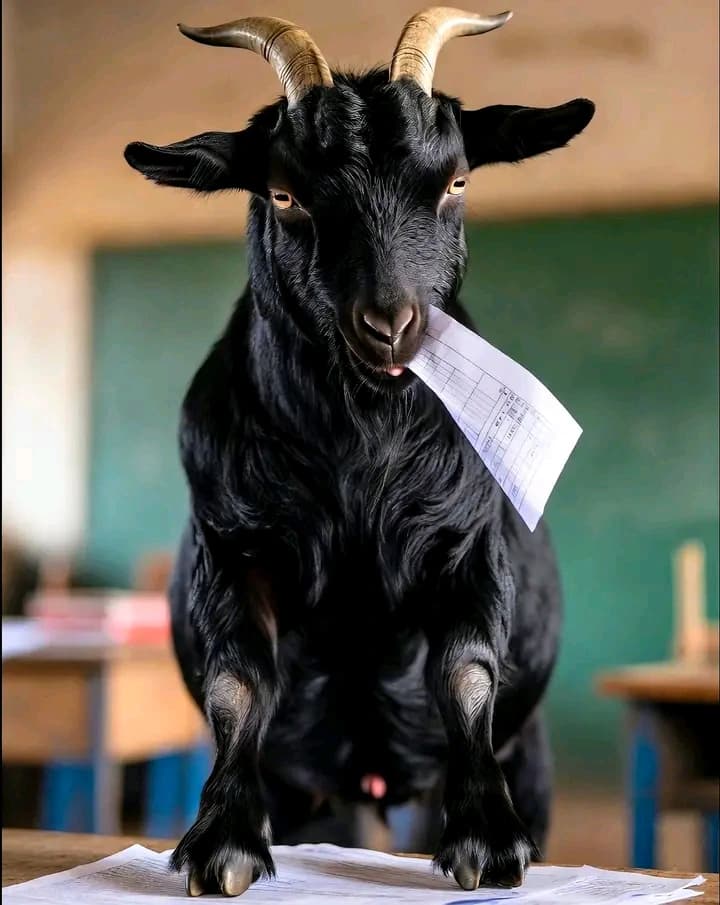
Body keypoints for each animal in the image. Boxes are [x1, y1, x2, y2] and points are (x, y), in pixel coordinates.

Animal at [125, 8, 594, 897]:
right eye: (285, 194)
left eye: (456, 183)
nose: (390, 322)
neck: (360, 457)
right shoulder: (233, 545)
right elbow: (239, 679)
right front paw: (220, 841)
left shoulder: (465, 542)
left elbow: (467, 666)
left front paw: (488, 837)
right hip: (313, 793)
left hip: (527, 753)